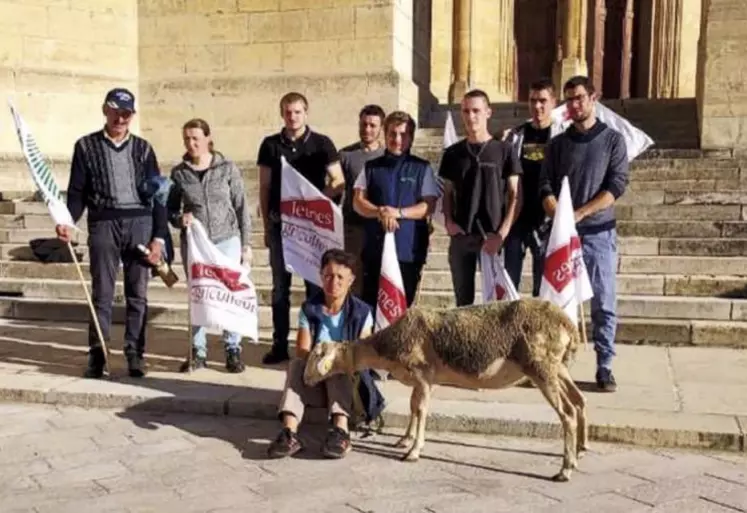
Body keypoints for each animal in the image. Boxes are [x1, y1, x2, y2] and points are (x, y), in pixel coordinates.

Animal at [304, 296, 592, 480]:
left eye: (317, 356)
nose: (306, 381)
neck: (387, 347)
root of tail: (566, 323)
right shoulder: (424, 380)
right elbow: (414, 408)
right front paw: (404, 440)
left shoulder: (422, 375)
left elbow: (421, 410)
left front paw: (413, 451)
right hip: (556, 367)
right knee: (579, 401)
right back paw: (579, 451)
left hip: (541, 366)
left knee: (567, 413)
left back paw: (565, 470)